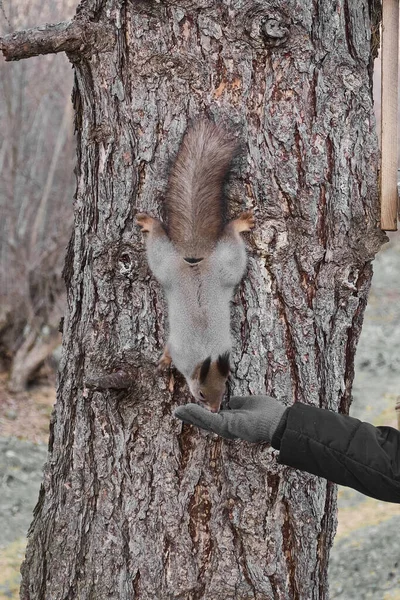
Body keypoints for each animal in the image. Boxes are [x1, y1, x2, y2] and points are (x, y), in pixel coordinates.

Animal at [138, 120, 255, 412]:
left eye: (224, 388)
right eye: (201, 394)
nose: (214, 410)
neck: (205, 355)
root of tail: (196, 263)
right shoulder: (180, 349)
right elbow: (170, 350)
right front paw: (164, 361)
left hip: (223, 268)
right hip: (177, 265)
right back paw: (151, 223)